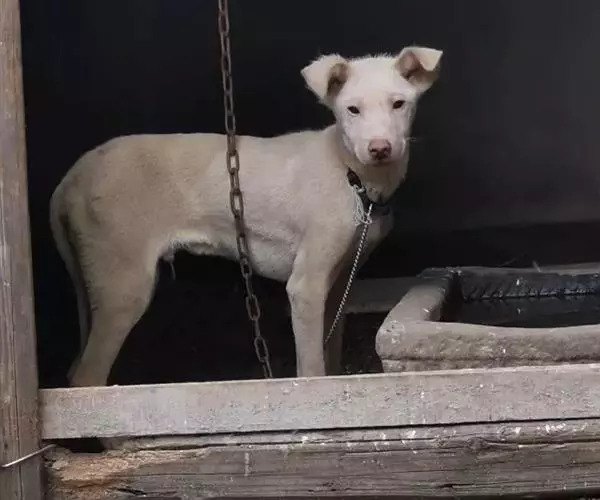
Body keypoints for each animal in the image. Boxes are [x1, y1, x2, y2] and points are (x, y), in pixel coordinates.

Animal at [50, 46, 442, 387]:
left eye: (399, 104)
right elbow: (311, 369)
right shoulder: (305, 286)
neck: (351, 175)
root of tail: (71, 176)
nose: (380, 149)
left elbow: (328, 358)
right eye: (353, 110)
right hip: (125, 285)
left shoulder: (338, 286)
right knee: (87, 376)